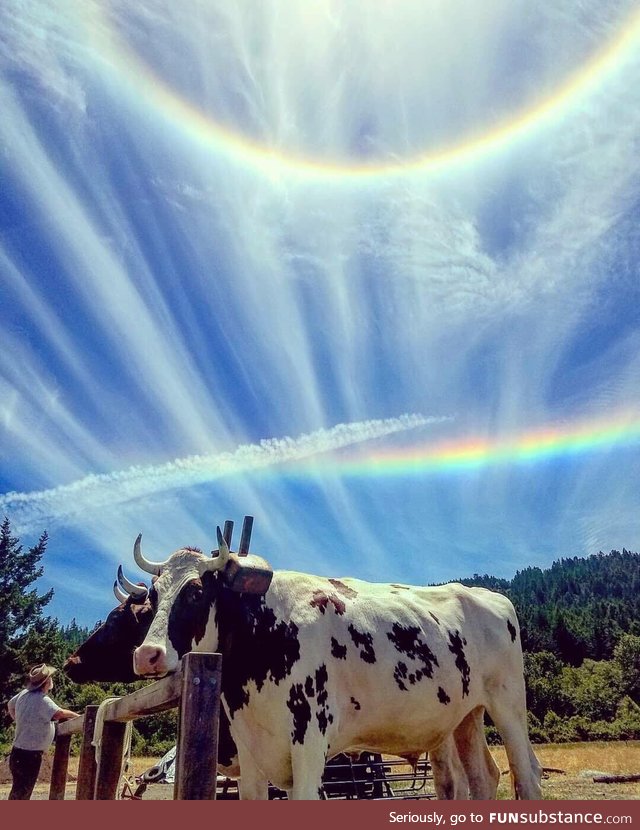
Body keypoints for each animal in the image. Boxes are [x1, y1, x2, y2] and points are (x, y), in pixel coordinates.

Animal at [131, 532, 540, 800]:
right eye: (153, 596)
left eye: (195, 592)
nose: (146, 654)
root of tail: (484, 594)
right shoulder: (252, 752)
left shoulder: (310, 743)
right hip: (464, 717)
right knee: (483, 777)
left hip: (508, 704)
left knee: (526, 775)